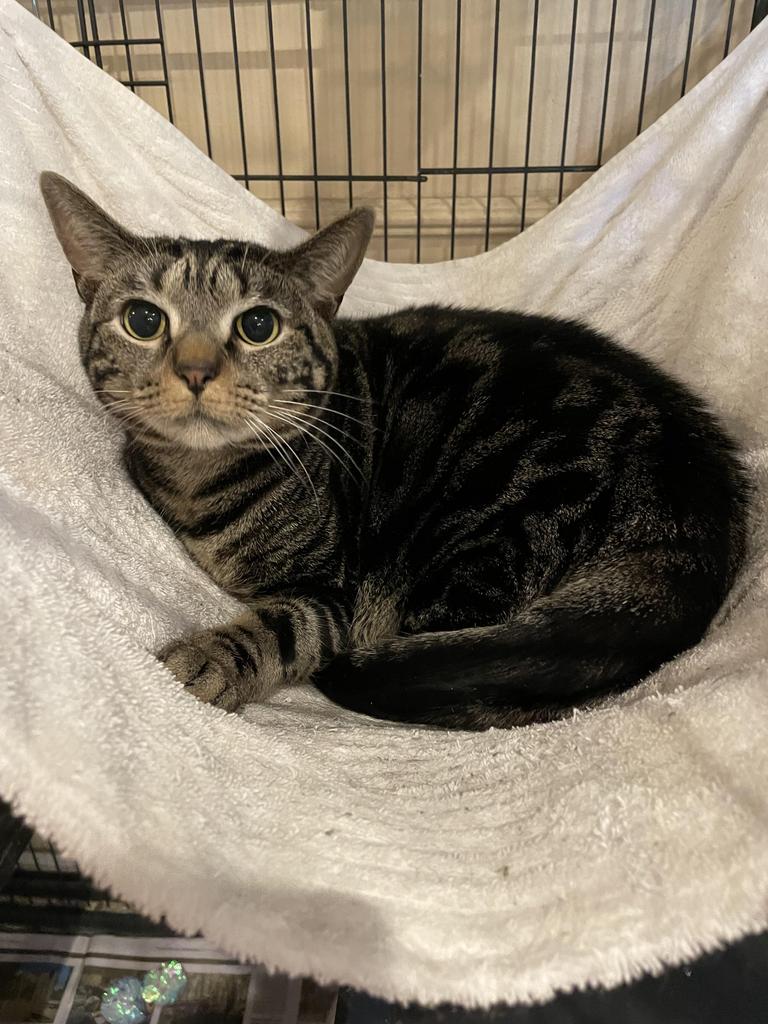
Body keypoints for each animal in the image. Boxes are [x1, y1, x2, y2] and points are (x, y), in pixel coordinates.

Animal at [40, 171, 749, 730]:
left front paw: (210, 658)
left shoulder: (334, 594)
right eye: (144, 320)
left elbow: (282, 628)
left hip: (495, 525)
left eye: (258, 325)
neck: (198, 487)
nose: (194, 369)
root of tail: (703, 501)